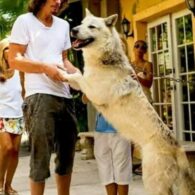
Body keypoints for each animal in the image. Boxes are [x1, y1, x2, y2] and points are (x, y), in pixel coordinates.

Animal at [59, 9, 195, 195]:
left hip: (152, 182)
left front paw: (60, 71)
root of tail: (178, 147)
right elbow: (77, 75)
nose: (73, 30)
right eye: (81, 24)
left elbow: (77, 75)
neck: (104, 60)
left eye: (91, 26)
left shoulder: (93, 92)